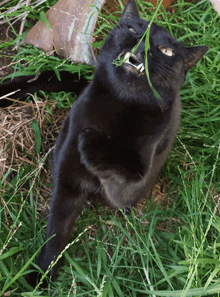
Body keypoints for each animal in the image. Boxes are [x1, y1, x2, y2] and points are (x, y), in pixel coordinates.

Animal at [0, 0, 208, 286]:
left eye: (166, 51)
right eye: (132, 29)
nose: (142, 45)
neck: (120, 106)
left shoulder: (133, 180)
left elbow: (123, 166)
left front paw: (91, 141)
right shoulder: (68, 178)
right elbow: (57, 228)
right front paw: (40, 276)